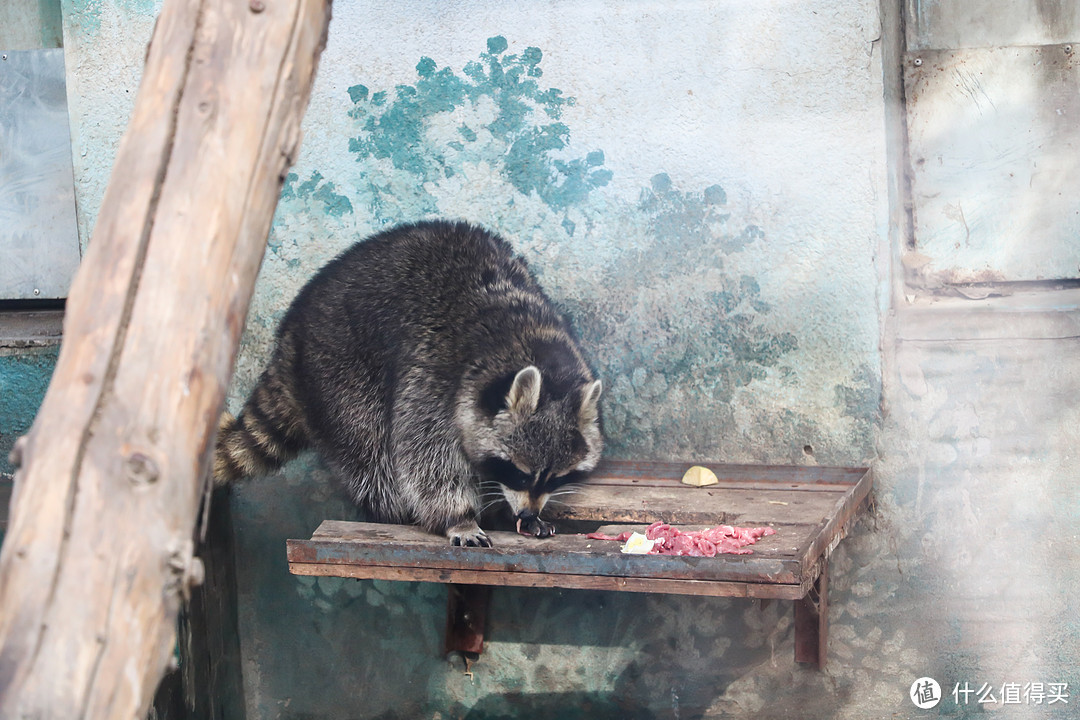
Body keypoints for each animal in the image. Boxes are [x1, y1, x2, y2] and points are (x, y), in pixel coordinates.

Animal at [210, 220, 600, 546]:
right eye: (519, 473)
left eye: (554, 479)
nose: (527, 512)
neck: (527, 337)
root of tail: (291, 336)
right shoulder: (434, 372)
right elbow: (424, 456)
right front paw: (458, 516)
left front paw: (509, 511)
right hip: (338, 364)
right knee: (370, 448)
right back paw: (398, 511)